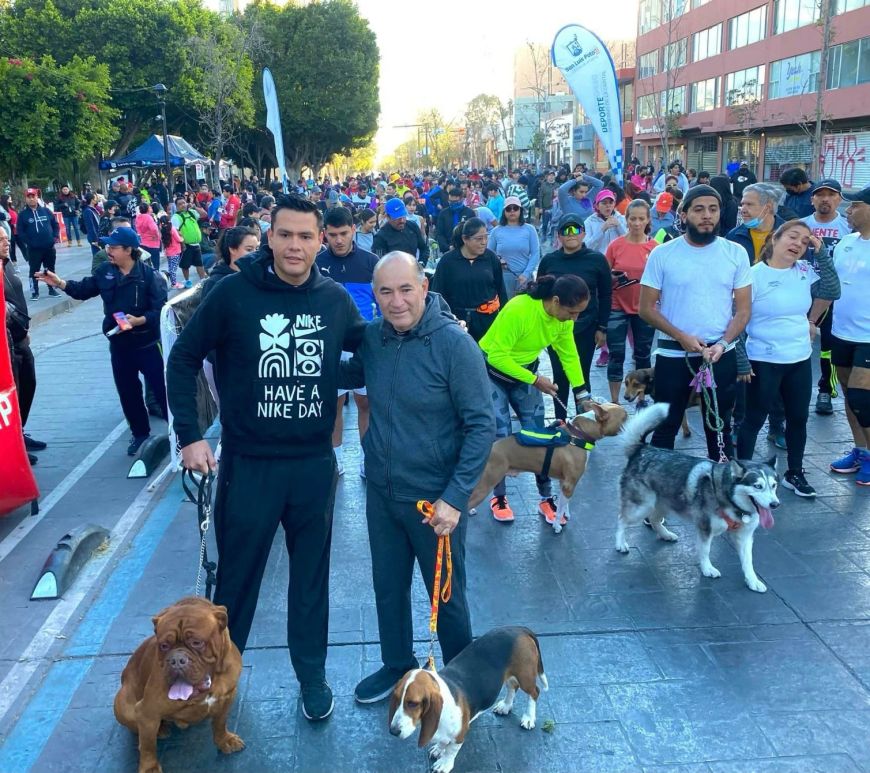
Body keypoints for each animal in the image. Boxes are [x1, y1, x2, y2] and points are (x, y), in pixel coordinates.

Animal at [114, 597, 244, 773]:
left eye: (196, 642)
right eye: (163, 646)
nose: (176, 660)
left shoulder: (228, 697)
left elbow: (220, 722)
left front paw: (224, 740)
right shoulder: (147, 711)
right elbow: (147, 746)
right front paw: (149, 767)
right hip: (122, 706)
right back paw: (161, 729)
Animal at [388, 626, 548, 773]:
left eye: (413, 703)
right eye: (396, 698)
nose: (393, 731)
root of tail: (518, 628)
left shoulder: (459, 735)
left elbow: (451, 751)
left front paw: (444, 764)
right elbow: (443, 741)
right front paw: (439, 749)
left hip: (525, 675)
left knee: (534, 692)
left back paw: (529, 718)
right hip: (509, 674)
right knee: (512, 686)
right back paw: (506, 706)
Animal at [468, 401, 628, 533]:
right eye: (625, 417)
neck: (579, 434)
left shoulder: (565, 483)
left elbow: (564, 504)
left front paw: (566, 514)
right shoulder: (569, 484)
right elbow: (560, 509)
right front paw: (557, 525)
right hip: (486, 483)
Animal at [615, 403, 780, 593]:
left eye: (774, 485)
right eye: (757, 486)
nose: (775, 504)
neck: (729, 499)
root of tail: (642, 449)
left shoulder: (745, 536)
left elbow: (748, 561)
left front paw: (752, 580)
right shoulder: (705, 527)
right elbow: (705, 551)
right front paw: (707, 568)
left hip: (664, 502)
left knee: (655, 519)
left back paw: (665, 534)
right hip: (642, 506)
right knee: (622, 519)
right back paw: (620, 543)